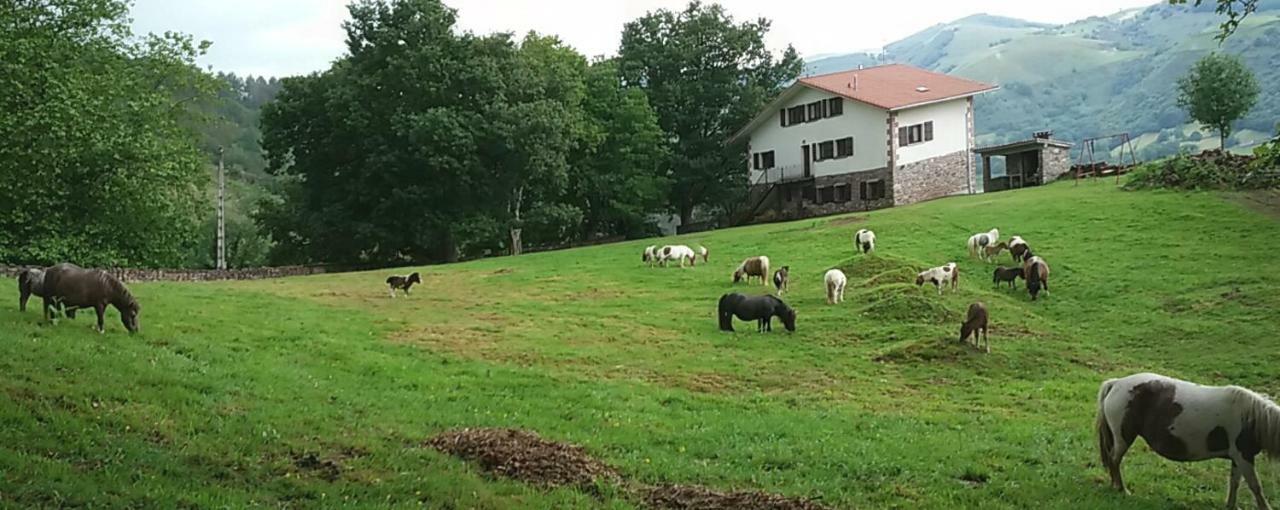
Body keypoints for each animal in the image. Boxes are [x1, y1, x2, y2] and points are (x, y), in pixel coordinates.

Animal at [1095, 371, 1280, 510]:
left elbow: (1235, 483)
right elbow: (1255, 486)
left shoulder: (1238, 458)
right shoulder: (1243, 456)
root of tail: (1116, 383)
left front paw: (1231, 506)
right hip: (1123, 438)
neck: (1250, 418)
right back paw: (1122, 490)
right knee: (1114, 460)